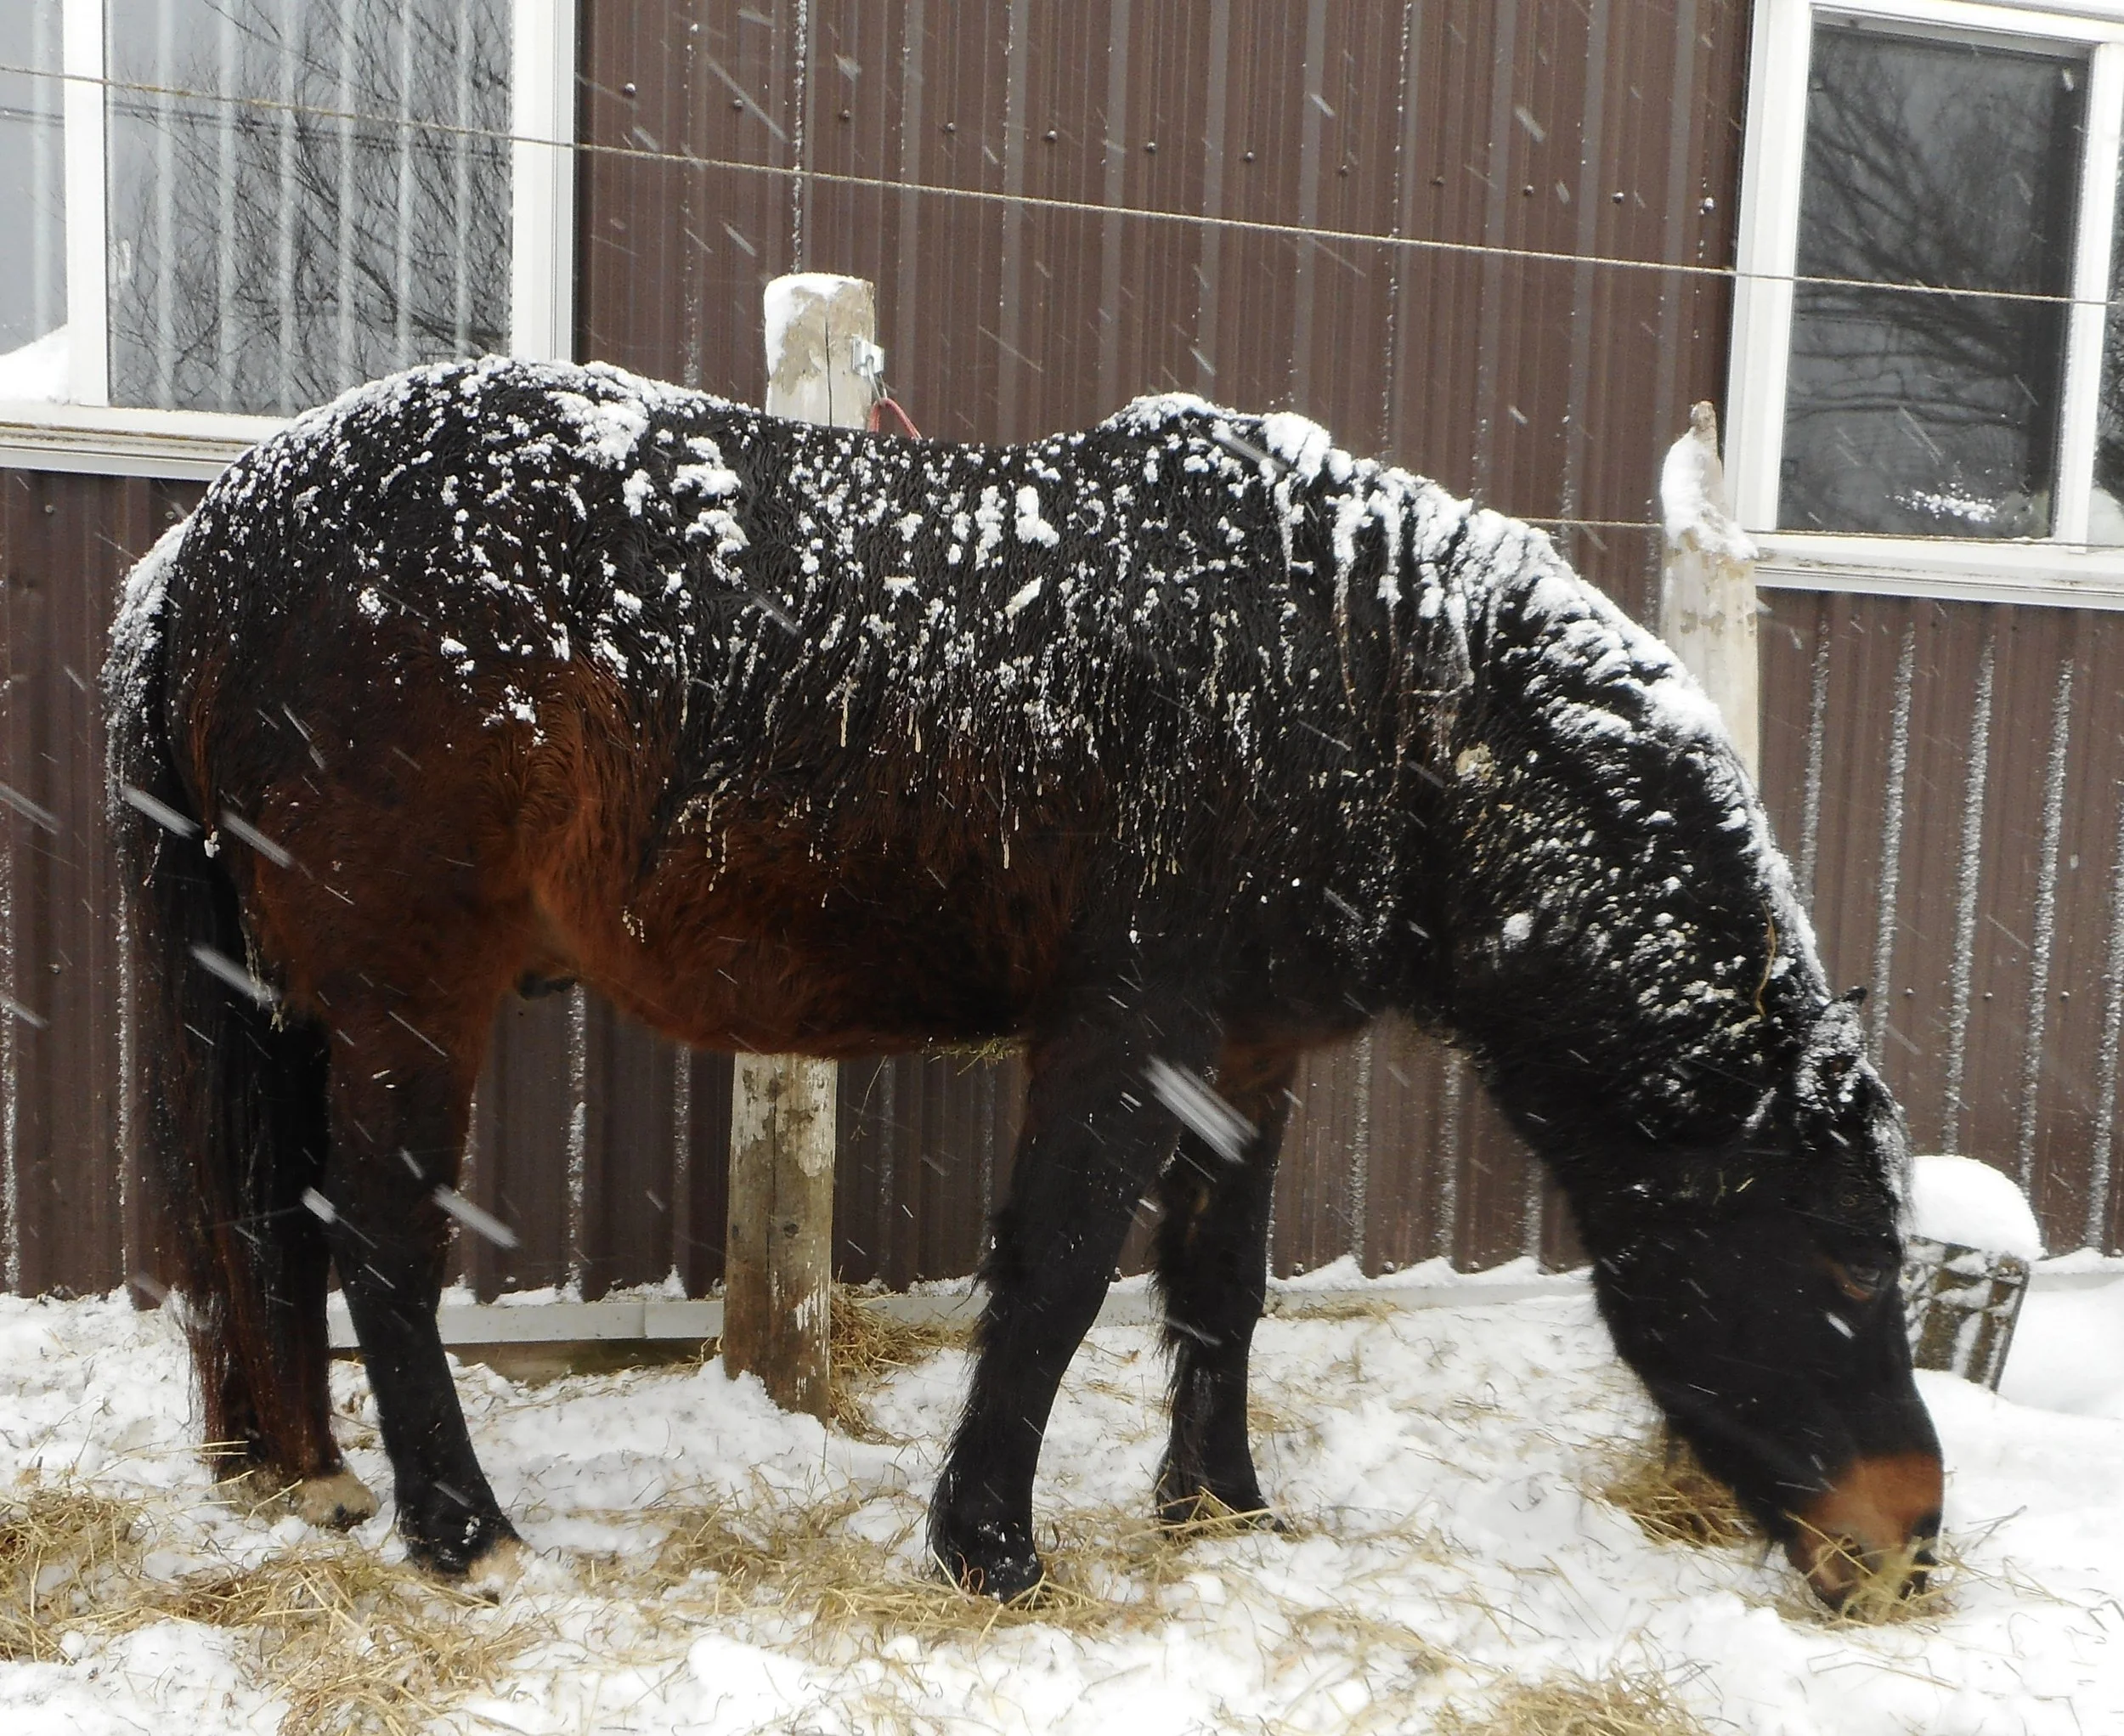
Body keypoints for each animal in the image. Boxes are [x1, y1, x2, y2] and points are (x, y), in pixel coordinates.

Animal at [105, 355, 1940, 1610]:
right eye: (1846, 1250)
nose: (1907, 1537)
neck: (1365, 682)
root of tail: (215, 533)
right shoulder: (1122, 1037)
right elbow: (1056, 1279)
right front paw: (987, 1541)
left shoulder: (1244, 1056)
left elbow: (1218, 1284)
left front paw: (1222, 1505)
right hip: (414, 999)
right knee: (382, 1246)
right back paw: (461, 1528)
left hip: (307, 1007)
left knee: (287, 1239)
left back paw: (320, 1475)